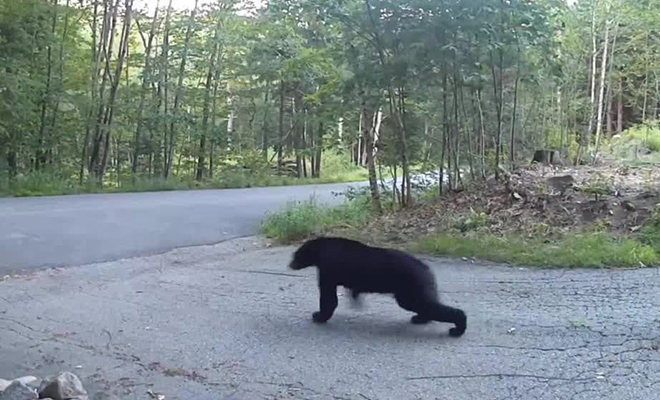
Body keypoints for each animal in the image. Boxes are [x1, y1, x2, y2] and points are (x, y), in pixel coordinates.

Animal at [286, 238, 466, 338]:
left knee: (428, 306)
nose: (290, 264)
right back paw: (421, 319)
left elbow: (328, 299)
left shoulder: (327, 269)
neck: (321, 249)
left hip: (409, 289)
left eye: (296, 255)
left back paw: (457, 328)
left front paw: (319, 316)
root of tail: (425, 268)